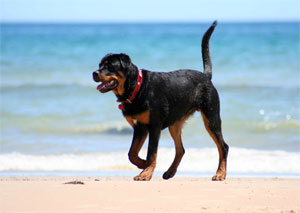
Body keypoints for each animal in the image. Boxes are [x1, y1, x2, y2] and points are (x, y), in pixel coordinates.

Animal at [92, 20, 229, 181]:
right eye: (100, 65)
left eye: (110, 66)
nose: (94, 73)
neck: (137, 87)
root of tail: (206, 76)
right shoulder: (139, 128)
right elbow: (132, 153)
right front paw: (143, 165)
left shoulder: (154, 126)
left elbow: (151, 152)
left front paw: (145, 173)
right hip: (175, 123)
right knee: (181, 149)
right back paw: (170, 172)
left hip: (211, 117)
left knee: (223, 147)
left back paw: (220, 174)